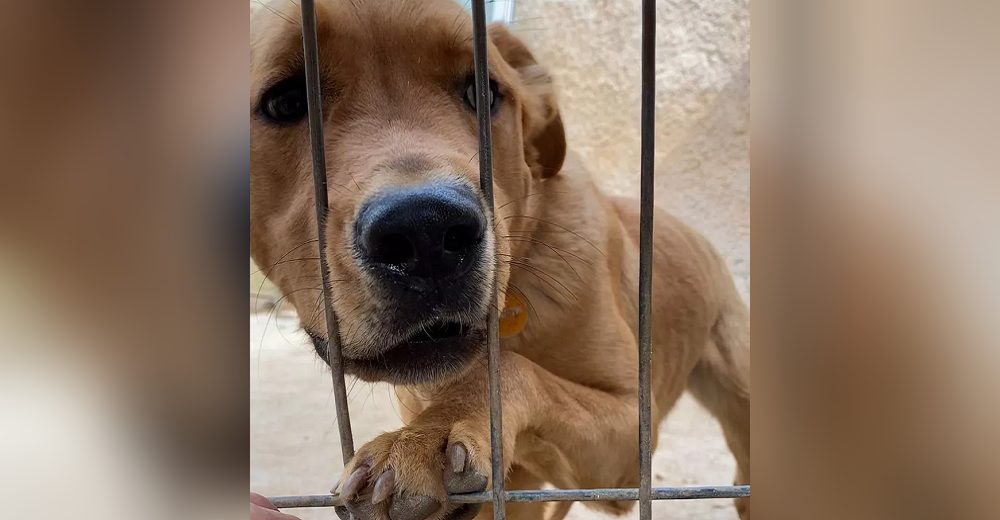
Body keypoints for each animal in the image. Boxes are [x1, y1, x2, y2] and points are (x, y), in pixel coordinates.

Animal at [254, 2, 748, 516]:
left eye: (483, 91)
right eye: (286, 103)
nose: (427, 233)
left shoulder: (630, 434)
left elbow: (510, 369)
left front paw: (424, 438)